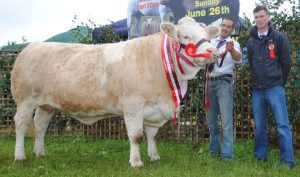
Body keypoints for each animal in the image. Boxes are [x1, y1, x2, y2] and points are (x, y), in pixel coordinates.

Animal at [10, 16, 219, 167]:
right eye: (185, 36)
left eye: (207, 35)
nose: (211, 51)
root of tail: (31, 46)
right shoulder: (133, 105)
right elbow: (136, 136)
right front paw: (136, 163)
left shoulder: (154, 108)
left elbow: (152, 134)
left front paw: (154, 157)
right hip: (25, 100)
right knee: (21, 124)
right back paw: (20, 156)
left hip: (46, 104)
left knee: (40, 126)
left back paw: (40, 153)